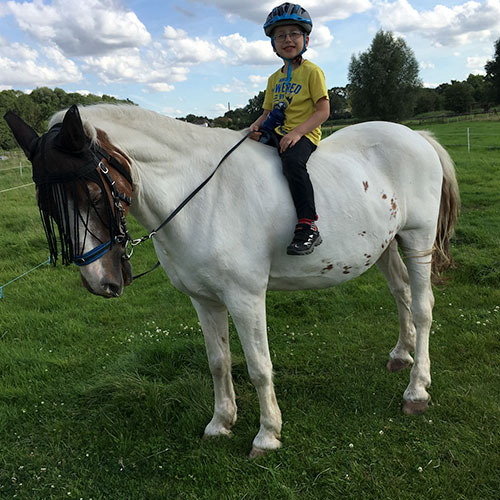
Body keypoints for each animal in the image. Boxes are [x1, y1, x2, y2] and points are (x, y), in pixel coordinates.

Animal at [4, 104, 458, 458]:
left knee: (422, 308)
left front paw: (267, 435)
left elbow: (258, 366)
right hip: (385, 246)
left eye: (96, 195)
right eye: (49, 206)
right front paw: (221, 423)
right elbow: (218, 361)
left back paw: (417, 390)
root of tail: (416, 137)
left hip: (416, 240)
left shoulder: (245, 298)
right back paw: (401, 354)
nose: (100, 281)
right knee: (401, 294)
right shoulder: (205, 300)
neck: (202, 195)